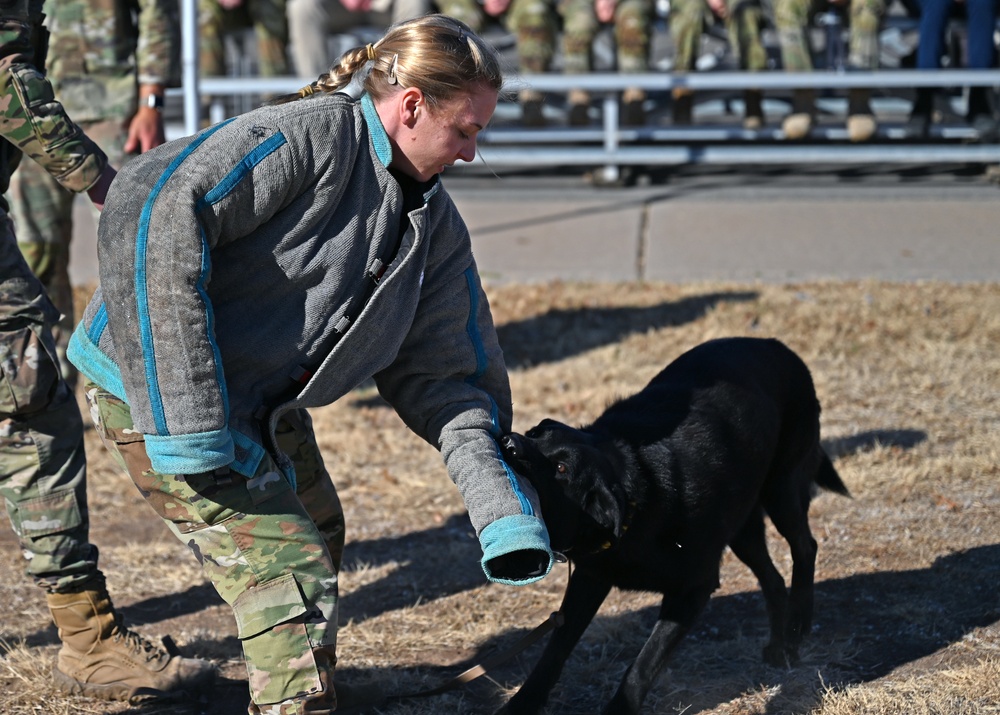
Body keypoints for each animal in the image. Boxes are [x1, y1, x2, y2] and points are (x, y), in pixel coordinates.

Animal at [496, 338, 848, 715]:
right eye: (536, 434)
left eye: (561, 469)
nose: (510, 441)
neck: (637, 499)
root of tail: (778, 345)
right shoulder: (590, 578)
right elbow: (555, 649)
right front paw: (521, 704)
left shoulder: (692, 590)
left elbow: (643, 665)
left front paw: (617, 711)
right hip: (742, 529)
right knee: (773, 577)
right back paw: (780, 645)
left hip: (781, 490)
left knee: (805, 546)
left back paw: (798, 625)